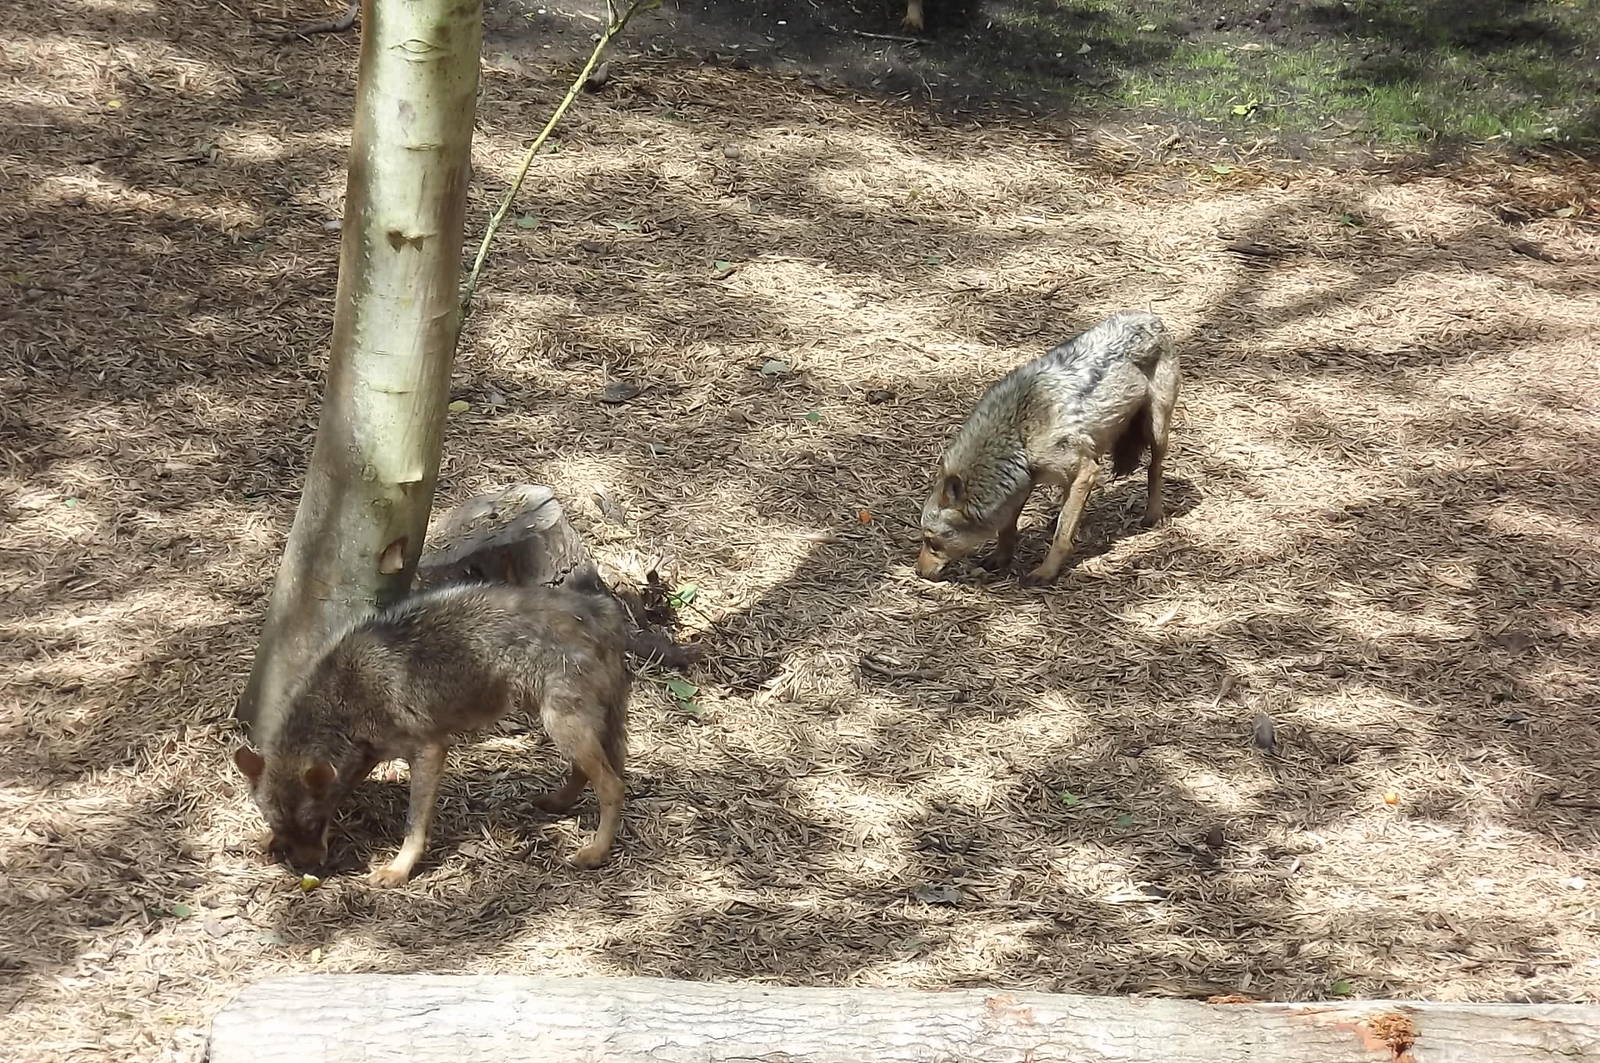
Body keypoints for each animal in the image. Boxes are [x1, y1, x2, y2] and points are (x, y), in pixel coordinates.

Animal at [232, 569, 630, 887]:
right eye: (284, 828)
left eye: (313, 825)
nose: (309, 868)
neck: (345, 696)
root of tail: (603, 609)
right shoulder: (366, 755)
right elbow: (343, 787)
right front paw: (265, 841)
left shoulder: (429, 750)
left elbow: (414, 825)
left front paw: (398, 870)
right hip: (561, 723)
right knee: (589, 771)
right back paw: (558, 803)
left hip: (560, 723)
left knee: (613, 785)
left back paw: (595, 851)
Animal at [916, 310, 1179, 586]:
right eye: (925, 540)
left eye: (932, 542)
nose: (918, 572)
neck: (1019, 435)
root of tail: (1151, 318)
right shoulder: (1025, 483)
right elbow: (1008, 528)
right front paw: (1000, 558)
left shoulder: (1086, 471)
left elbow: (1061, 538)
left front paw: (1046, 572)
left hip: (1156, 431)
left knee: (1154, 470)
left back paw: (1153, 515)